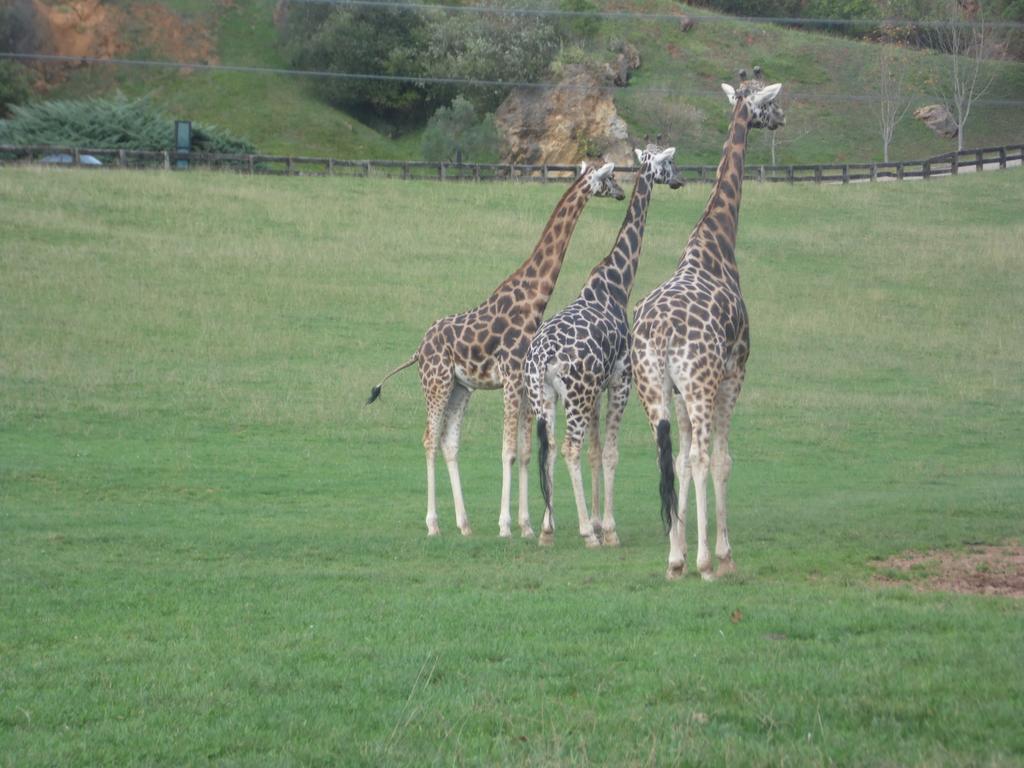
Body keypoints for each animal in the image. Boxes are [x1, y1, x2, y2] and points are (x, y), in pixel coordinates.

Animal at [368, 160, 622, 540]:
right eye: (609, 177)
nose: (621, 192)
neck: (533, 298)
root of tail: (418, 350)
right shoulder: (514, 378)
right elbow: (509, 451)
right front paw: (507, 525)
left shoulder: (524, 383)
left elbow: (526, 451)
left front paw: (527, 525)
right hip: (436, 382)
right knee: (429, 438)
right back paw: (433, 524)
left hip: (460, 387)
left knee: (448, 441)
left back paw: (464, 523)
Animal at [524, 143, 684, 548]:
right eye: (669, 163)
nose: (679, 179)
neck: (616, 283)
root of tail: (543, 357)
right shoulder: (621, 379)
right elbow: (610, 452)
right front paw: (606, 529)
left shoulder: (597, 390)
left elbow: (596, 452)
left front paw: (598, 521)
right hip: (576, 395)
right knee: (568, 447)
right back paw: (584, 532)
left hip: (544, 395)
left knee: (550, 448)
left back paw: (547, 529)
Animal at [630, 73, 782, 581]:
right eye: (769, 103)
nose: (780, 119)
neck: (715, 243)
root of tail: (659, 335)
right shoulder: (734, 373)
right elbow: (719, 459)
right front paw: (724, 554)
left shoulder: (677, 392)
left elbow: (677, 460)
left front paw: (679, 553)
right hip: (700, 384)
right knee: (699, 456)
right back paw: (704, 562)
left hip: (651, 388)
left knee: (667, 456)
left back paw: (676, 559)